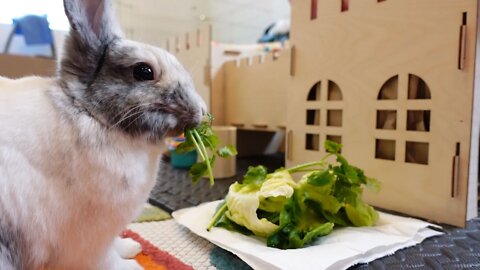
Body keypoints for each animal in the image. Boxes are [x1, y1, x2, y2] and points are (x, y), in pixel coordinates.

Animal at [0, 0, 204, 268]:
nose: (201, 112)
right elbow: (106, 260)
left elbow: (115, 246)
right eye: (144, 71)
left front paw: (131, 246)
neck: (93, 116)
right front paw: (133, 265)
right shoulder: (89, 241)